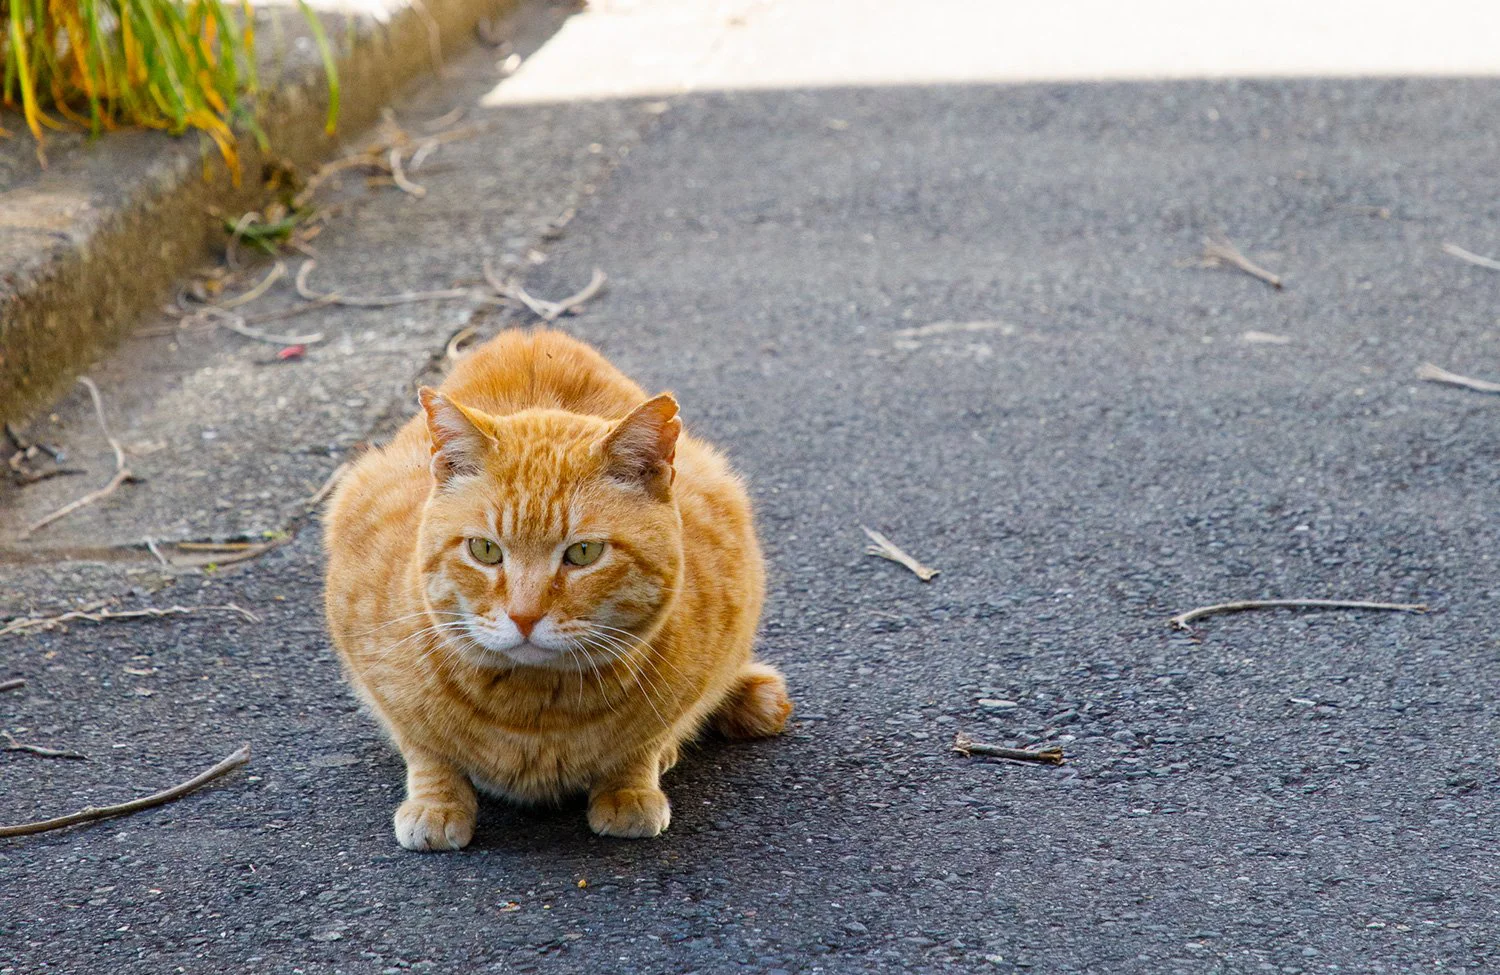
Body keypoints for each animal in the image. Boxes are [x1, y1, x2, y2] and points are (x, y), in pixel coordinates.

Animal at [322, 330, 792, 846]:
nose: (524, 616)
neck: (533, 716)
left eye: (583, 553)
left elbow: (643, 743)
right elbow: (425, 746)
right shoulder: (374, 662)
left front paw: (630, 787)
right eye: (485, 550)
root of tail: (532, 336)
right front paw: (437, 802)